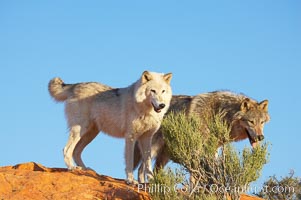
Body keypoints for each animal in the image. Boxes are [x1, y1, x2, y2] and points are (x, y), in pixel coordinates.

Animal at [132, 90, 268, 181]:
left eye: (262, 122)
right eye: (251, 122)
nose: (261, 137)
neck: (220, 113)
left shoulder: (214, 149)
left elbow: (212, 170)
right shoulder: (196, 149)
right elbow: (195, 173)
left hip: (165, 155)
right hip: (154, 149)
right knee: (141, 169)